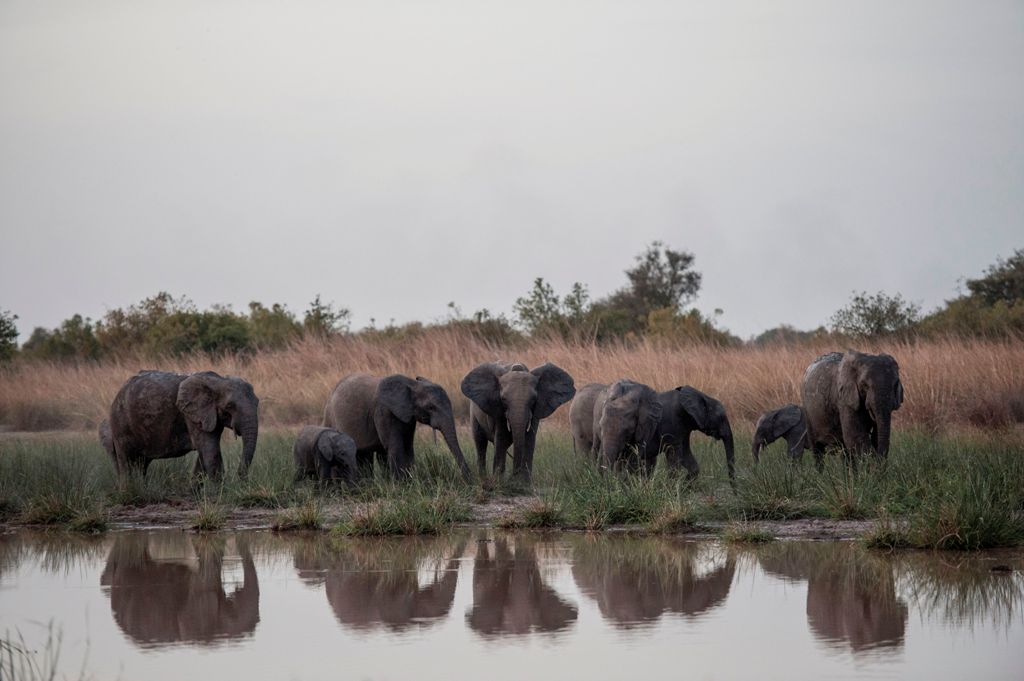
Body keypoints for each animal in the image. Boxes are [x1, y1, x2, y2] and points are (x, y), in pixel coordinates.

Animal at [104, 372, 260, 477]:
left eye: (257, 402)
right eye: (229, 406)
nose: (239, 477)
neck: (219, 380)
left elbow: (206, 451)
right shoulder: (191, 415)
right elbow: (210, 450)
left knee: (141, 463)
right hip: (119, 423)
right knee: (126, 460)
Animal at [321, 374, 473, 481]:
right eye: (431, 407)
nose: (470, 481)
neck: (412, 384)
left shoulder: (409, 416)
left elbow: (407, 446)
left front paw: (410, 482)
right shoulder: (383, 411)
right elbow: (395, 446)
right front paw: (400, 486)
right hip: (330, 418)